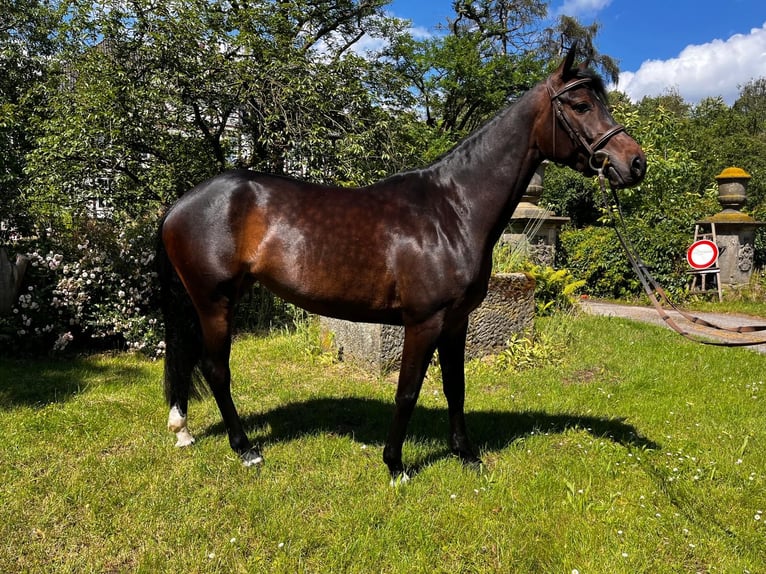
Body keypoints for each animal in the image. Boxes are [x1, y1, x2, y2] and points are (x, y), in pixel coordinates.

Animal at [156, 47, 648, 482]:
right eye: (581, 105)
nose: (635, 163)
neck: (453, 209)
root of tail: (181, 203)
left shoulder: (456, 322)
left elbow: (455, 387)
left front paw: (467, 456)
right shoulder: (424, 321)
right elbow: (407, 390)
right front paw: (395, 465)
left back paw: (184, 430)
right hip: (214, 301)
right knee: (216, 369)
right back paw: (246, 450)